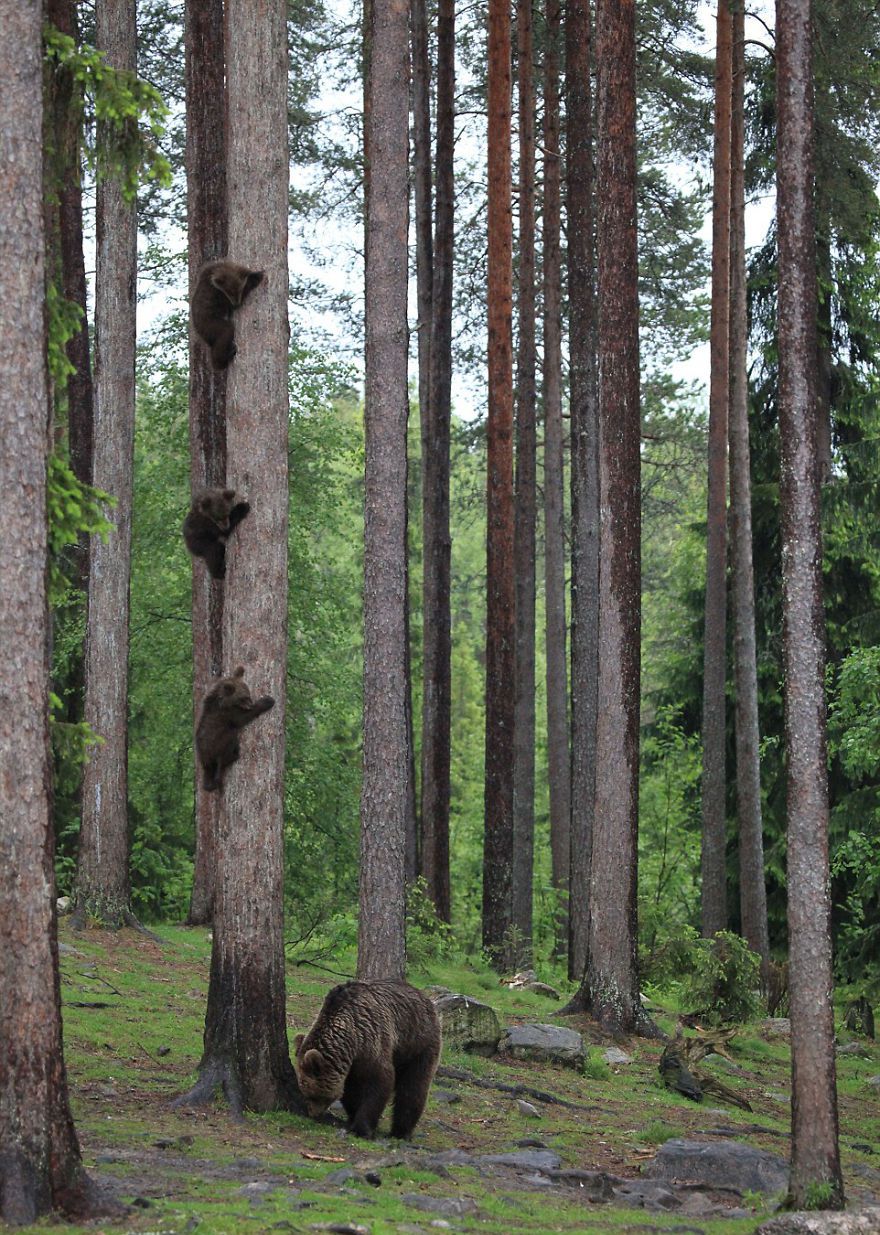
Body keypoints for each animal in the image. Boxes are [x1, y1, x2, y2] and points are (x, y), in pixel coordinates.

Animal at [293, 978, 439, 1141]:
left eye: (312, 1094)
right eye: (305, 1091)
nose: (313, 1114)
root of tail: (425, 997)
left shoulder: (371, 1039)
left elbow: (379, 1083)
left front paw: (363, 1129)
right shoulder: (352, 1064)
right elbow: (351, 1092)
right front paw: (353, 1117)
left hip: (418, 1043)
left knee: (413, 1086)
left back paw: (401, 1131)